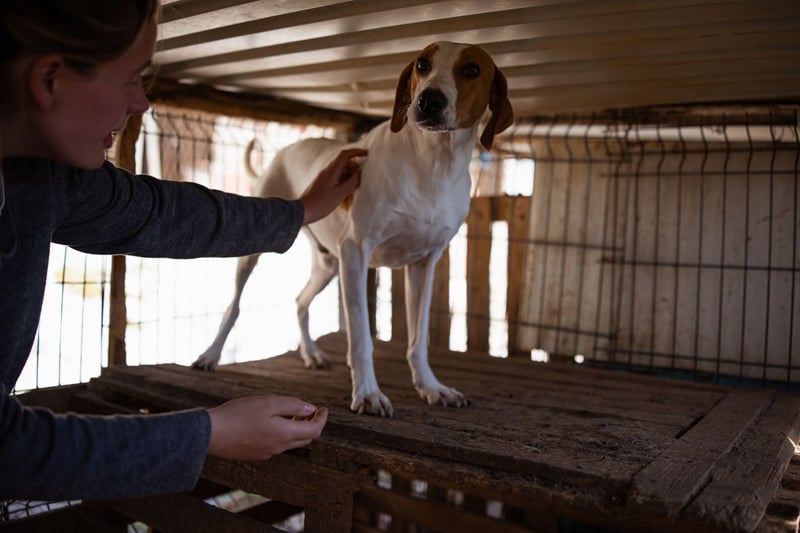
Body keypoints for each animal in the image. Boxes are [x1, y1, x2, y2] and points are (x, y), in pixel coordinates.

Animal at [193, 41, 513, 417]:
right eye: (422, 64)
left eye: (472, 70)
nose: (428, 100)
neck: (433, 164)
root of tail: (286, 148)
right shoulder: (356, 251)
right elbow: (360, 336)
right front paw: (368, 393)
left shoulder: (424, 265)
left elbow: (418, 339)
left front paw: (431, 387)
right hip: (262, 251)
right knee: (235, 306)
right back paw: (211, 355)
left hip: (329, 264)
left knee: (300, 301)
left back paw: (311, 353)